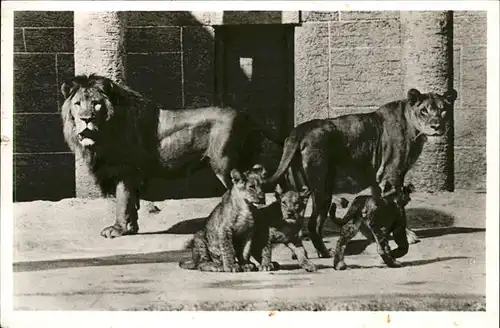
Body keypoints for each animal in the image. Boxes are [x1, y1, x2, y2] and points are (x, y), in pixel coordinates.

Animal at [59, 74, 282, 238]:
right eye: (78, 104)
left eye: (96, 104)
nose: (86, 119)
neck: (106, 131)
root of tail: (247, 115)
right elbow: (132, 203)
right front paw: (132, 229)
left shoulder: (126, 170)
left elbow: (122, 201)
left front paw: (118, 230)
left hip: (225, 166)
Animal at [266, 87, 458, 258]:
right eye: (424, 111)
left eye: (443, 110)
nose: (436, 126)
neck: (414, 127)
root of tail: (298, 130)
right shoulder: (392, 175)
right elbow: (399, 208)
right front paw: (407, 235)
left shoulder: (379, 179)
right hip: (323, 189)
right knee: (313, 225)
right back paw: (326, 253)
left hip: (298, 191)